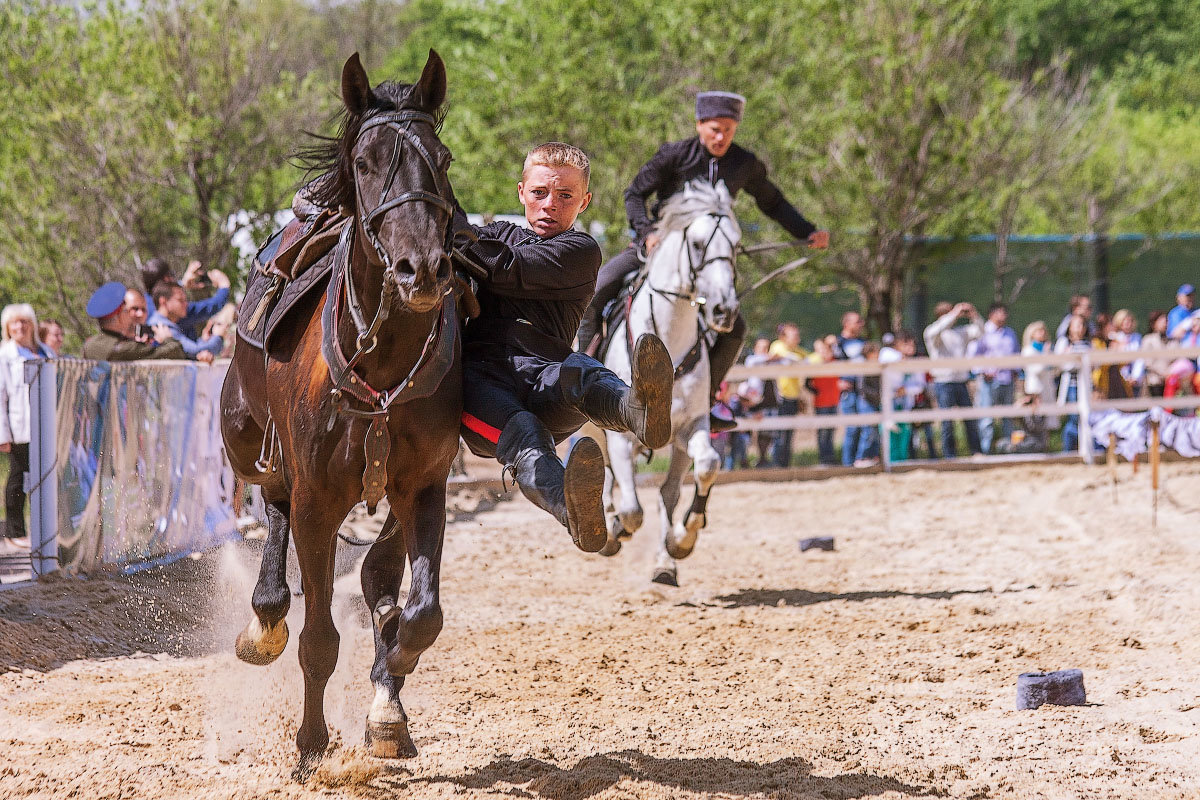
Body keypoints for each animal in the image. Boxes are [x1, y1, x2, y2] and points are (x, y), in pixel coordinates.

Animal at [220, 51, 458, 777]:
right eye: (365, 161)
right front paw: (309, 745)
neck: (378, 368)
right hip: (246, 440)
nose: (420, 268)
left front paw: (388, 701)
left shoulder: (424, 487)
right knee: (271, 499)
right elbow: (320, 638)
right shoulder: (320, 502)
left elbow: (420, 614)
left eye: (442, 157)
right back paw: (264, 621)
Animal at [592, 179, 734, 582]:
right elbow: (630, 510)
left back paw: (665, 562)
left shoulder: (691, 427)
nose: (724, 309)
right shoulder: (620, 436)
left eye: (735, 244)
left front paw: (683, 538)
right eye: (698, 244)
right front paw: (615, 529)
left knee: (666, 493)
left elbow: (707, 467)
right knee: (609, 481)